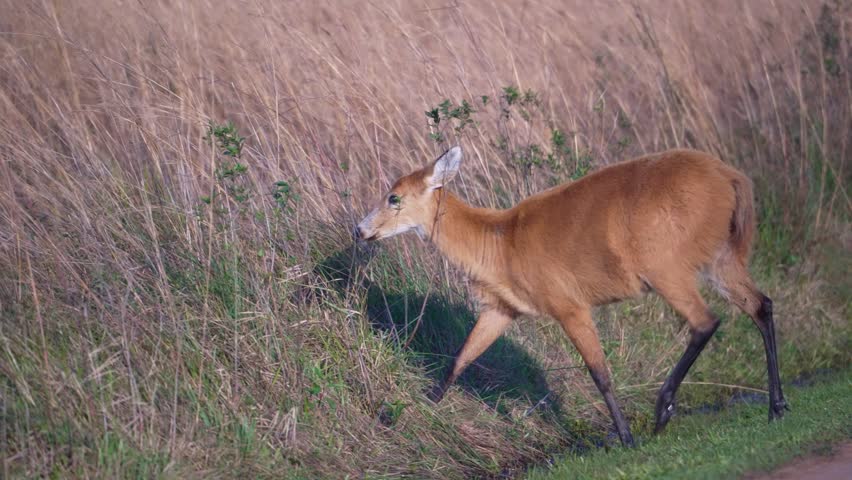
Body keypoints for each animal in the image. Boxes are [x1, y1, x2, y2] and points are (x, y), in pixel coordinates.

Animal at [355, 146, 787, 446]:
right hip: (720, 257)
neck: (501, 243)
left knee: (706, 322)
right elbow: (460, 359)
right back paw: (776, 407)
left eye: (394, 197)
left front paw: (626, 438)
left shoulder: (568, 305)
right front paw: (402, 417)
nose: (360, 229)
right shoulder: (502, 308)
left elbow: (600, 373)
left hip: (668, 268)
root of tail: (732, 178)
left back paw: (663, 410)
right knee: (761, 305)